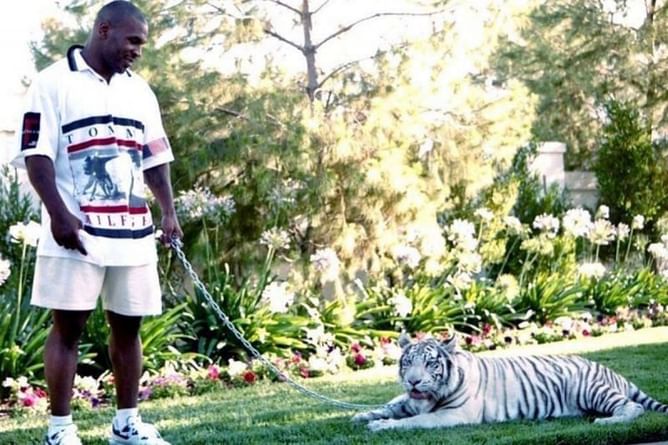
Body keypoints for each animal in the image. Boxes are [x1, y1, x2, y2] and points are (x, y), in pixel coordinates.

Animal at [352, 333, 668, 431]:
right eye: (408, 362)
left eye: (430, 363)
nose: (414, 382)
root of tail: (611, 371)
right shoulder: (410, 401)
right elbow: (392, 405)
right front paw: (361, 415)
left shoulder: (454, 415)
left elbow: (412, 421)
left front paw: (381, 425)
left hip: (591, 390)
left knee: (633, 407)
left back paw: (608, 421)